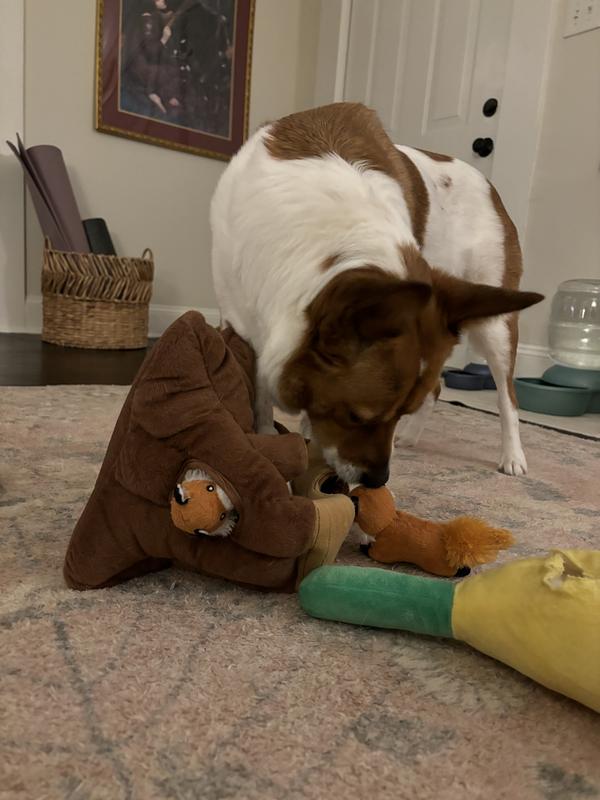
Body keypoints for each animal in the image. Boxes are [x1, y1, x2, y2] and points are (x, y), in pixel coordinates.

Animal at [210, 103, 543, 487]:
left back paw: (512, 457)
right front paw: (270, 443)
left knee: (508, 399)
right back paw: (412, 438)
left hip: (495, 323)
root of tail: (490, 187)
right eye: (357, 417)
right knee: (438, 387)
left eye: (398, 412)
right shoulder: (242, 318)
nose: (377, 480)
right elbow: (261, 397)